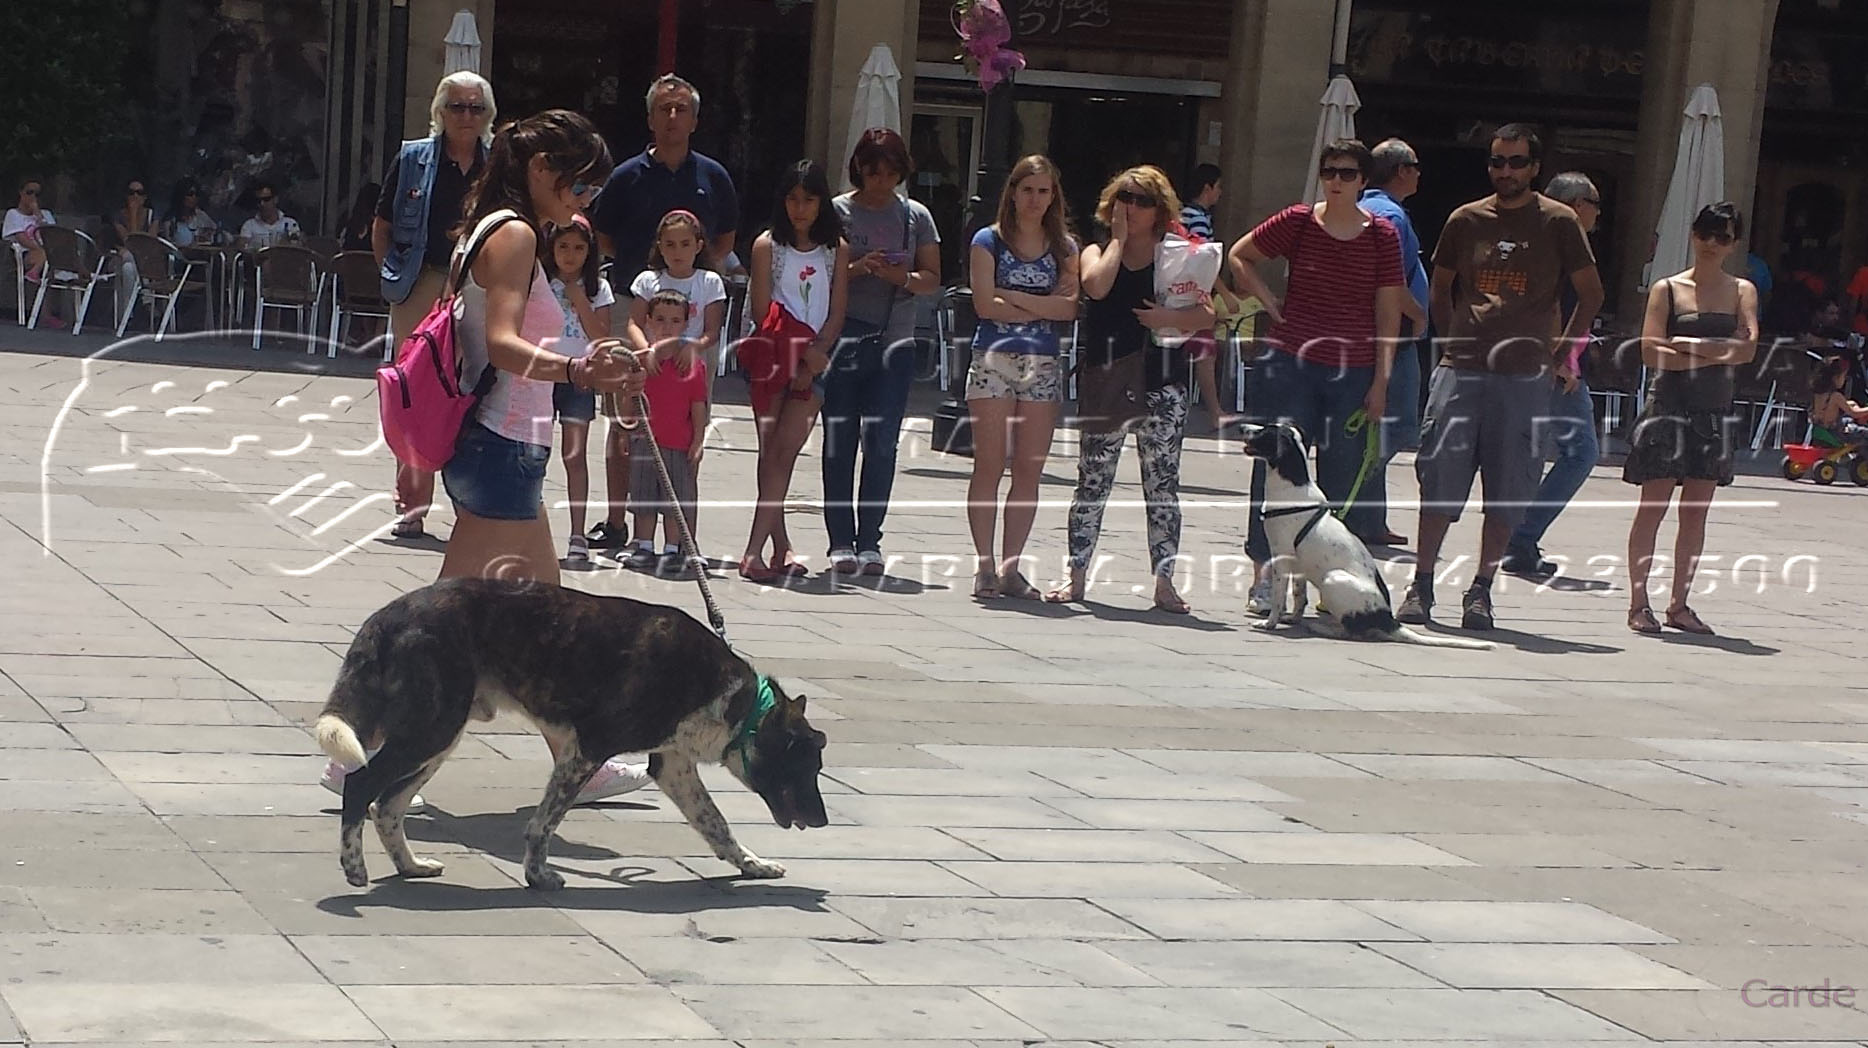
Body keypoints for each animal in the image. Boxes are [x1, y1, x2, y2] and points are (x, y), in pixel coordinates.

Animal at [313, 578, 829, 890]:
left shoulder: (672, 766)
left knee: (387, 806)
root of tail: (390, 614)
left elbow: (716, 825)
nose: (824, 822)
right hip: (432, 732)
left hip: (438, 738)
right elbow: (544, 822)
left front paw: (751, 865)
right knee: (363, 786)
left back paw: (410, 866)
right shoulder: (588, 750)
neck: (740, 704)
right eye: (805, 767)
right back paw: (354, 868)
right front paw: (538, 876)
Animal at [1242, 421, 1492, 651]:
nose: (1243, 426)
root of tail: (1389, 621)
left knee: (1353, 632)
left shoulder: (1281, 559)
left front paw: (1270, 623)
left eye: (1264, 431)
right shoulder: (1297, 564)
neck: (1293, 487)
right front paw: (1292, 618)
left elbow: (1278, 597)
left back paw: (1323, 628)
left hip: (1332, 579)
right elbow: (1299, 596)